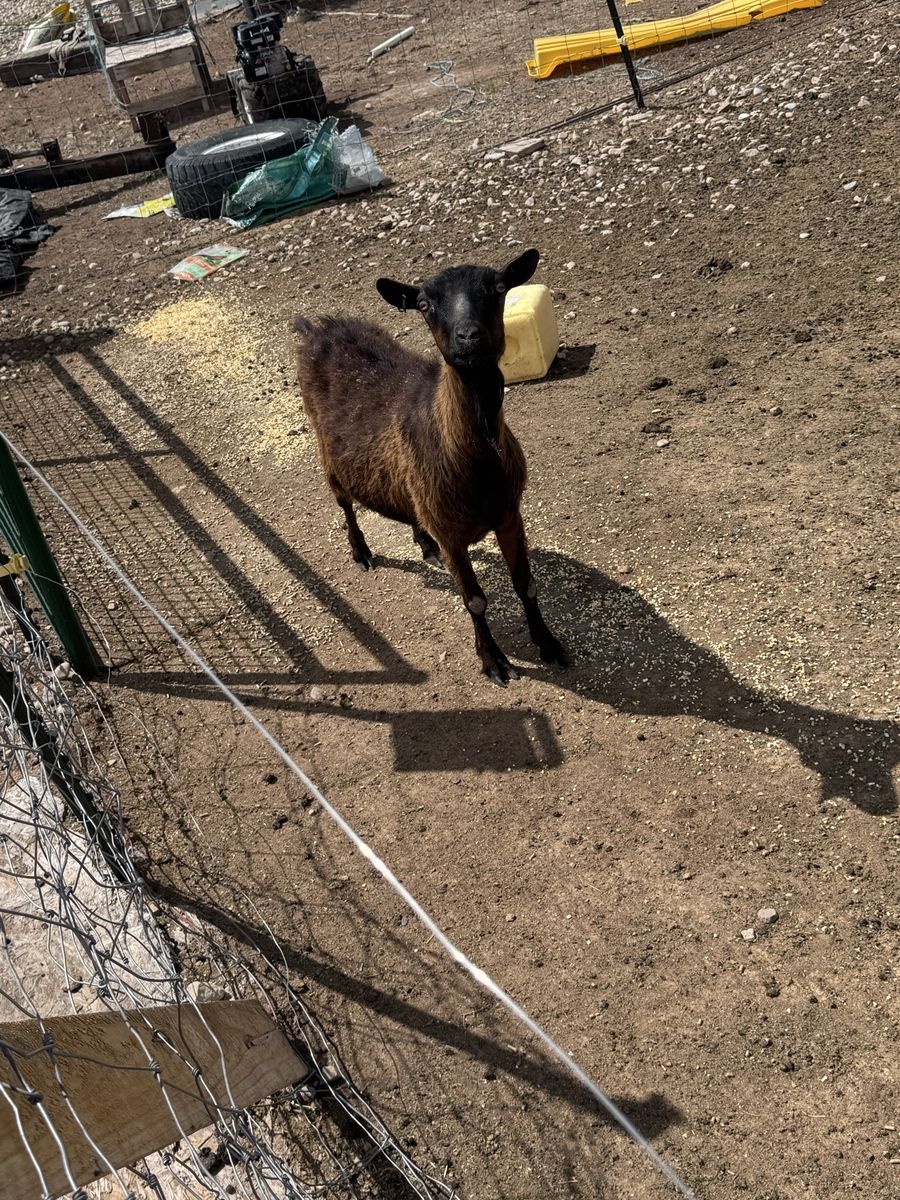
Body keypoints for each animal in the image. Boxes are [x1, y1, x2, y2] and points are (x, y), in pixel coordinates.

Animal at [294, 249, 566, 685]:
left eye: (499, 287)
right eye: (424, 305)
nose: (469, 337)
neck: (480, 462)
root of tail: (316, 327)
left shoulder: (509, 513)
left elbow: (526, 584)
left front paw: (549, 644)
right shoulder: (453, 533)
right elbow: (475, 601)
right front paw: (494, 661)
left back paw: (424, 543)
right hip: (326, 452)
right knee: (345, 504)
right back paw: (361, 552)